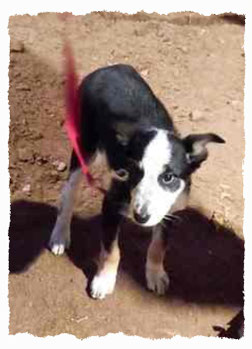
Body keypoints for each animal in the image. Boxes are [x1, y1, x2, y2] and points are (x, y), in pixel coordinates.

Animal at [48, 64, 224, 298]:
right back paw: (59, 235)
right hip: (84, 147)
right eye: (134, 171)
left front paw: (155, 274)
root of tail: (107, 68)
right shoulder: (112, 204)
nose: (140, 217)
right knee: (69, 192)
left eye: (168, 177)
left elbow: (159, 246)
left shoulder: (170, 210)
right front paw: (104, 281)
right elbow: (112, 250)